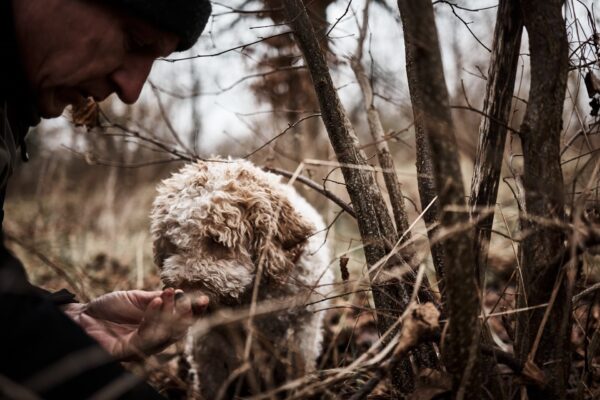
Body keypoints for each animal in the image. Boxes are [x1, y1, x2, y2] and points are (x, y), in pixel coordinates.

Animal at [150, 159, 332, 396]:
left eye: (217, 240)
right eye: (173, 243)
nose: (186, 293)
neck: (255, 293)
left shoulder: (303, 329)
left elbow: (299, 370)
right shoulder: (209, 344)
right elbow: (212, 383)